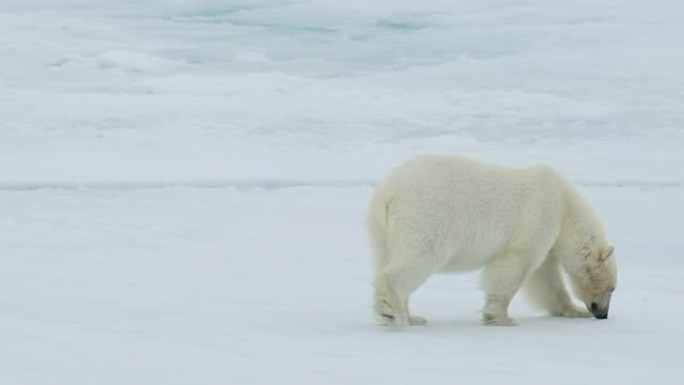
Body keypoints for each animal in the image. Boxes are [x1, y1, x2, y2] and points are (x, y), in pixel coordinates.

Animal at [372, 154, 616, 326]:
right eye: (611, 288)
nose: (603, 314)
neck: (563, 203)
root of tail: (388, 194)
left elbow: (545, 278)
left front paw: (575, 311)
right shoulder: (537, 218)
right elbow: (517, 264)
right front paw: (502, 317)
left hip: (384, 233)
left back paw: (413, 318)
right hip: (425, 217)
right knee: (417, 258)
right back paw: (392, 313)